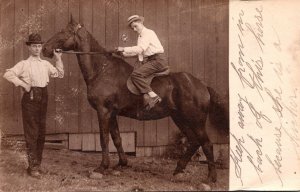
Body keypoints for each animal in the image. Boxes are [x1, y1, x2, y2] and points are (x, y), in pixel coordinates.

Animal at [42, 16, 229, 183]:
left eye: (64, 32)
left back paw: (210, 178)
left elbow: (104, 139)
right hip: (179, 118)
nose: (45, 49)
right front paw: (122, 163)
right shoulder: (112, 113)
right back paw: (178, 170)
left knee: (206, 143)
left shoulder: (104, 111)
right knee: (193, 141)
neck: (101, 70)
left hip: (195, 120)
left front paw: (102, 167)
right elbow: (116, 138)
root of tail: (202, 85)